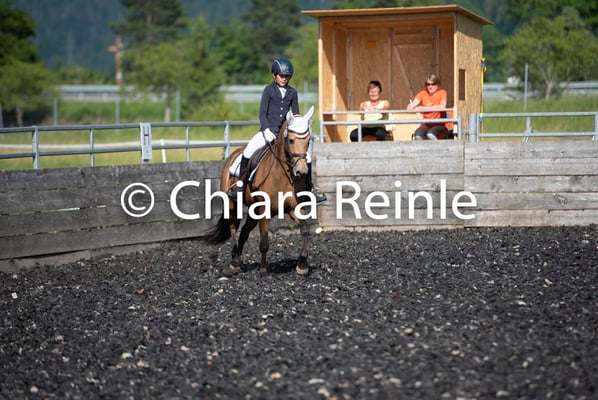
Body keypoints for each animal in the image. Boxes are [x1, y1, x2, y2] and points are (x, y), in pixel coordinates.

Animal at [205, 106, 317, 276]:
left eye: (308, 140)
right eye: (291, 140)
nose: (301, 172)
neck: (282, 174)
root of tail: (234, 154)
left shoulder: (294, 208)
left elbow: (305, 230)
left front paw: (302, 265)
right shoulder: (265, 210)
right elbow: (264, 239)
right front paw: (264, 269)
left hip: (254, 210)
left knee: (244, 232)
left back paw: (239, 260)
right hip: (233, 204)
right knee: (233, 227)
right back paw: (235, 262)